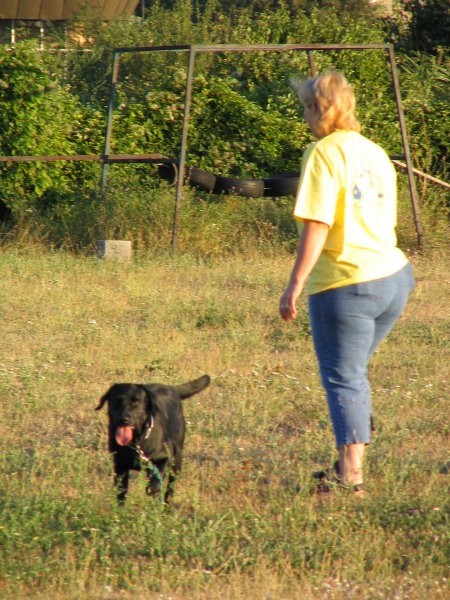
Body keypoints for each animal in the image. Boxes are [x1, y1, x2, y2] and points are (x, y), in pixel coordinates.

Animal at [95, 372, 211, 504]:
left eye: (135, 403)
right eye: (117, 401)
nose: (124, 419)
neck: (137, 442)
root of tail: (172, 389)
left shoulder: (166, 457)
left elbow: (158, 478)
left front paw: (153, 488)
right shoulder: (120, 466)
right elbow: (121, 493)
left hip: (177, 460)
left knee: (170, 487)